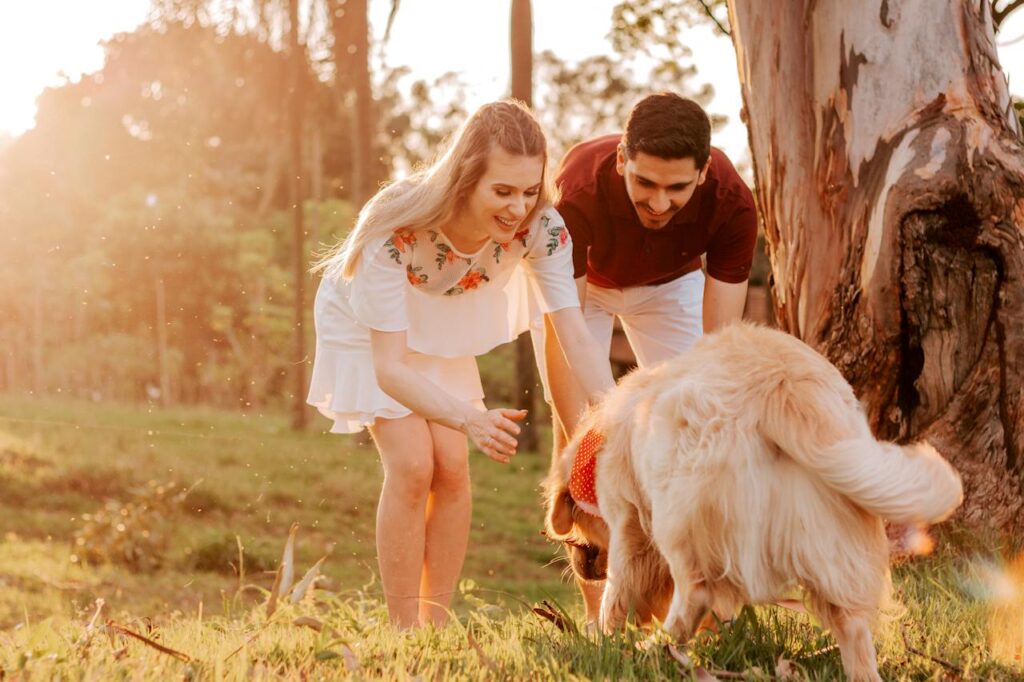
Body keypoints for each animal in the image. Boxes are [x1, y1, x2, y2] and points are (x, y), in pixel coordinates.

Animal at [548, 321, 962, 675]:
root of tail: (783, 384)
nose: (579, 566)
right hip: (829, 533)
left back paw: (654, 648)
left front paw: (604, 638)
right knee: (853, 626)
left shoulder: (628, 521)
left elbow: (619, 587)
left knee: (696, 591)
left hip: (678, 516)